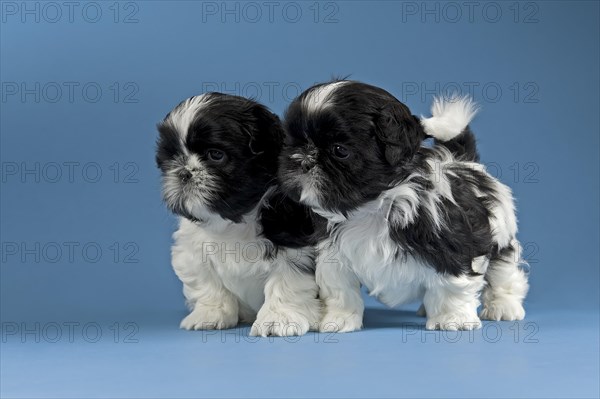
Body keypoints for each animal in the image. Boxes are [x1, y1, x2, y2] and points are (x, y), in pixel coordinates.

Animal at [157, 93, 322, 338]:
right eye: (172, 157)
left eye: (216, 155)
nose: (184, 173)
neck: (235, 221)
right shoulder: (192, 251)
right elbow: (207, 283)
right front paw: (209, 314)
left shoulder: (295, 246)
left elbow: (286, 281)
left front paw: (278, 318)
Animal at [278, 80, 528, 332]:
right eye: (292, 143)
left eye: (340, 150)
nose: (302, 160)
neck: (372, 208)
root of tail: (464, 160)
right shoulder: (334, 255)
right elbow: (341, 290)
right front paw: (339, 319)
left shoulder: (453, 245)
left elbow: (453, 283)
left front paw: (453, 319)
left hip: (502, 236)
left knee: (504, 273)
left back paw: (503, 306)